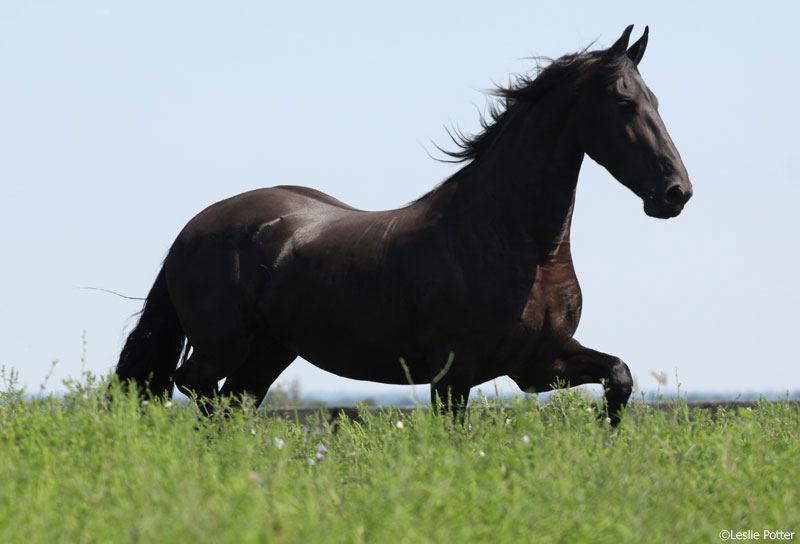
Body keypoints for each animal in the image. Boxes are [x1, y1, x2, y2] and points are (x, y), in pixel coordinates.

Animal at [115, 26, 692, 424]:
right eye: (624, 102)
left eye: (656, 101)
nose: (676, 193)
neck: (521, 247)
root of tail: (192, 229)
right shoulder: (454, 374)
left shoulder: (538, 363)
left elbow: (619, 377)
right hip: (222, 344)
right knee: (196, 389)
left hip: (270, 350)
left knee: (231, 403)